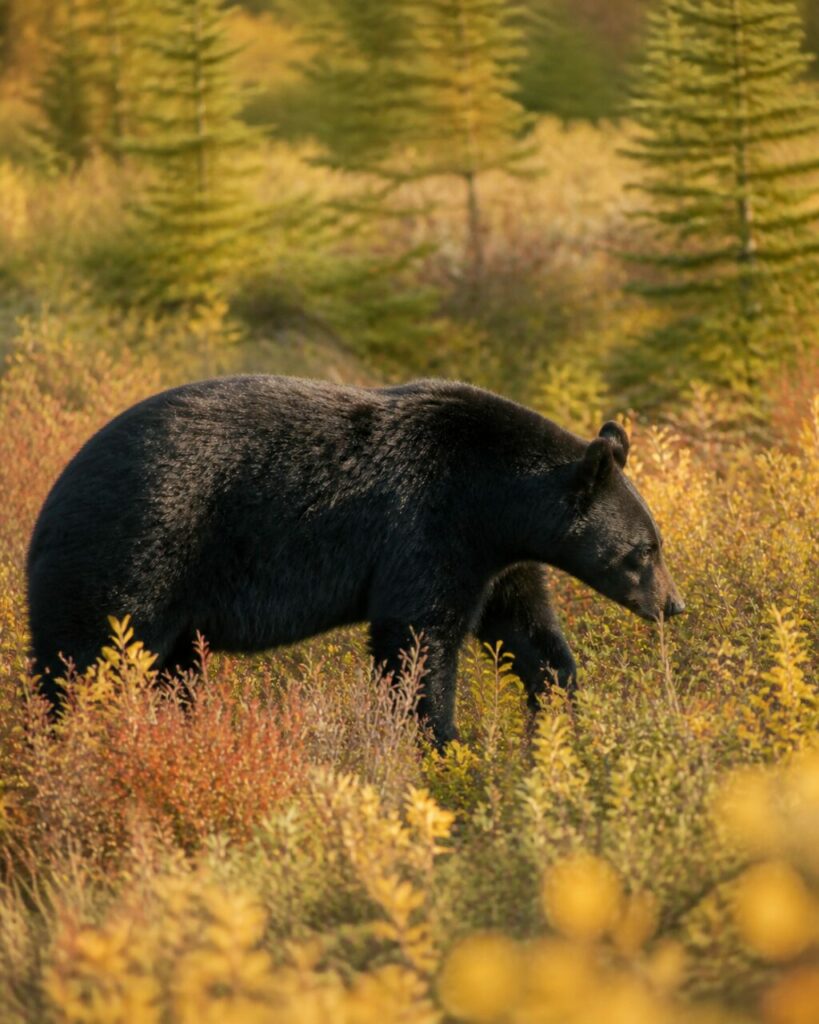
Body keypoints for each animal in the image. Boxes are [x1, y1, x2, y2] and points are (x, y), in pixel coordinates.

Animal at [27, 375, 685, 746]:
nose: (673, 605)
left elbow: (526, 628)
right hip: (135, 559)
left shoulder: (496, 558)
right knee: (85, 661)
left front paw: (560, 710)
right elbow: (418, 635)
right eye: (644, 550)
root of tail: (49, 502)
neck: (493, 499)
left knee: (172, 674)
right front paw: (444, 742)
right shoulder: (429, 525)